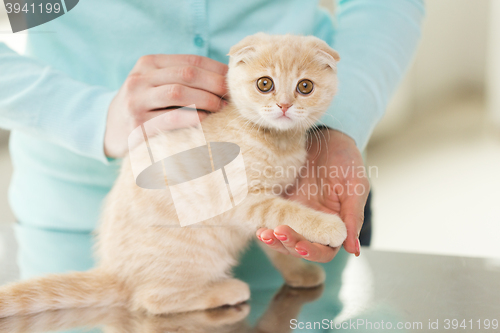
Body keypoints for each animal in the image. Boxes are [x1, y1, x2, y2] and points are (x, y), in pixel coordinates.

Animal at [0, 33, 346, 316]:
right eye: (265, 84)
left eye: (305, 87)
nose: (284, 105)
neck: (277, 141)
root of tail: (116, 273)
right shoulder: (241, 198)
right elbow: (285, 211)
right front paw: (329, 226)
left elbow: (275, 234)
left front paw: (298, 271)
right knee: (151, 300)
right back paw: (225, 290)